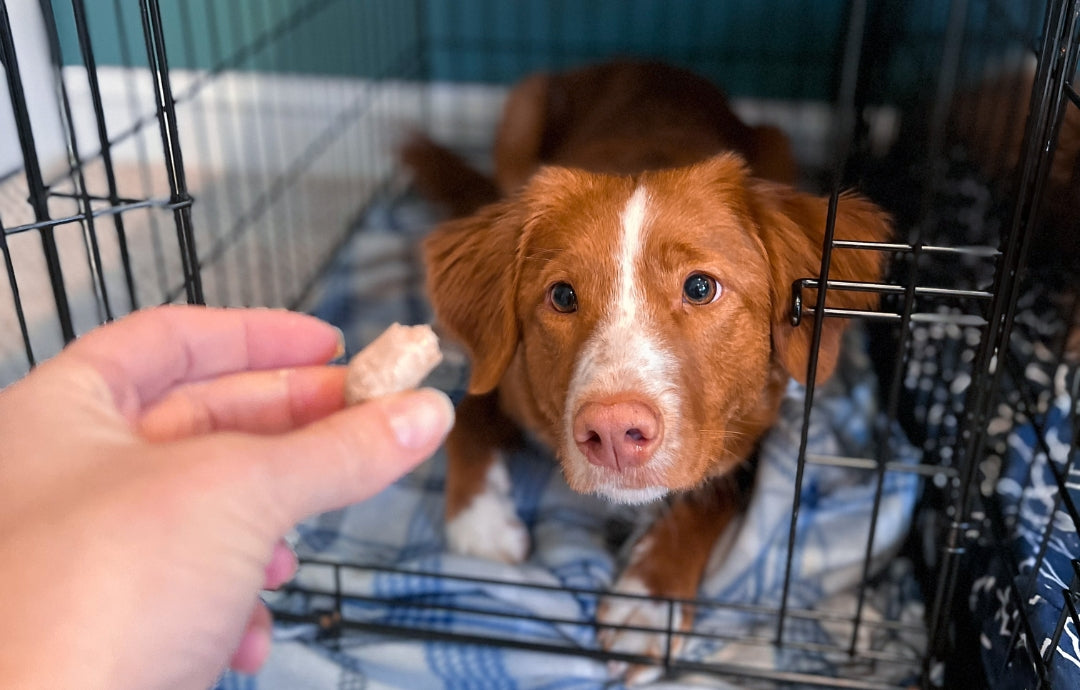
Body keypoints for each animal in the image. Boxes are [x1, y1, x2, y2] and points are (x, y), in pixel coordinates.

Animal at [403, 60, 885, 682]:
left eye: (700, 287)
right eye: (562, 296)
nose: (612, 433)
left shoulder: (753, 428)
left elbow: (710, 496)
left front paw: (647, 602)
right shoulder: (507, 377)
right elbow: (464, 411)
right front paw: (480, 521)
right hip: (523, 109)